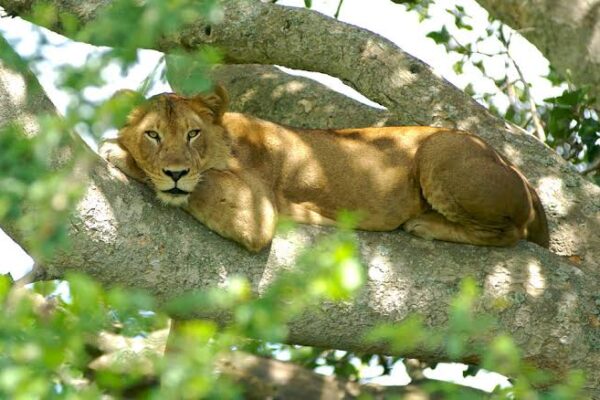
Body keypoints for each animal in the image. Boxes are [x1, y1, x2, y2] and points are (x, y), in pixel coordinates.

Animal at [101, 86, 552, 252]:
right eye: (153, 135)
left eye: (193, 133)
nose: (175, 172)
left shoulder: (255, 212)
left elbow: (202, 185)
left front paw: (116, 152)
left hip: (440, 150)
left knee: (508, 234)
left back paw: (425, 225)